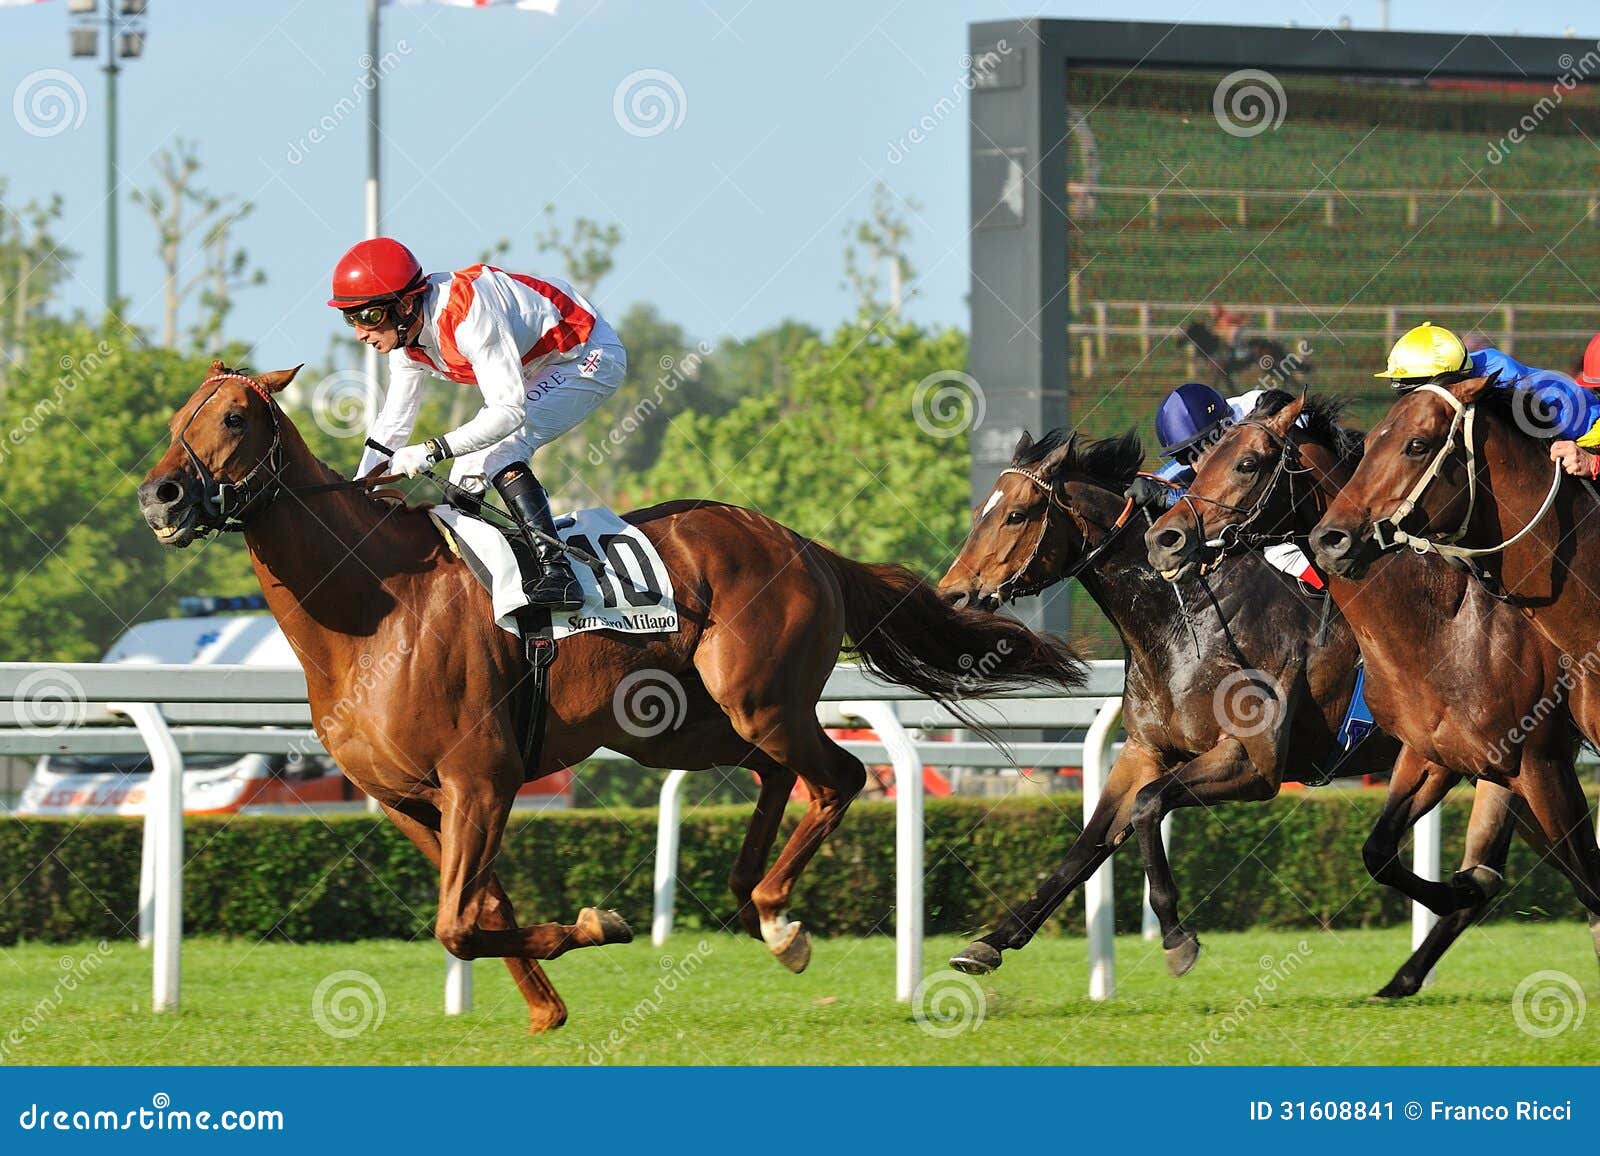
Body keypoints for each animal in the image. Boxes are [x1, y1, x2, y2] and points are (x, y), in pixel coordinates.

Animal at [137, 360, 1088, 1024]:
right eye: (177, 418)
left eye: (231, 417)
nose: (162, 494)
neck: (378, 612)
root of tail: (804, 544)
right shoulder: (407, 799)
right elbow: (475, 908)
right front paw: (546, 1007)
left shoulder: (480, 778)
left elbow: (459, 922)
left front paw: (598, 928)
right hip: (680, 723)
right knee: (776, 773)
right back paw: (754, 896)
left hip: (757, 696)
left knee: (840, 776)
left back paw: (778, 916)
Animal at [934, 422, 1401, 979]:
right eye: (982, 509)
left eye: (1016, 514)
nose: (951, 595)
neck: (1189, 623)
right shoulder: (1144, 751)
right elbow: (1088, 843)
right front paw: (992, 941)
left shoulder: (1252, 763)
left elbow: (1146, 806)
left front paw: (1176, 937)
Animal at [1145, 389, 1600, 979]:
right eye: (1200, 463)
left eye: (1247, 463)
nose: (1164, 539)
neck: (1439, 623)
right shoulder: (1438, 753)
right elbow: (1378, 852)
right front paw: (1461, 890)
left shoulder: (1539, 761)